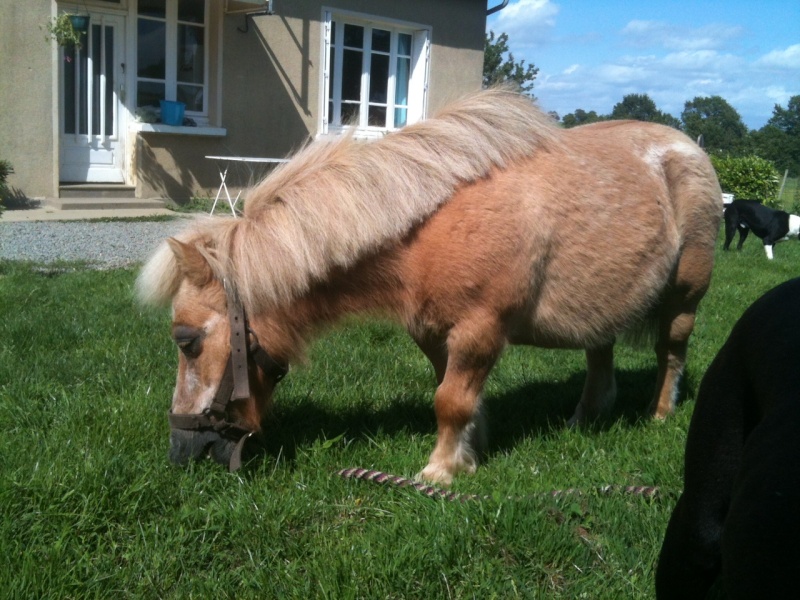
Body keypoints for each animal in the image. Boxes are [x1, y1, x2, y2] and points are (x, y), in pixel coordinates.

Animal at [134, 88, 720, 482]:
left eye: (187, 341)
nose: (180, 451)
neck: (426, 227)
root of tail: (687, 148)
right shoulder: (433, 333)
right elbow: (456, 396)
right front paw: (470, 452)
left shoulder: (480, 330)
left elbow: (451, 401)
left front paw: (440, 473)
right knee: (600, 358)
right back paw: (583, 420)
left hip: (685, 300)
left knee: (671, 352)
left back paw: (660, 414)